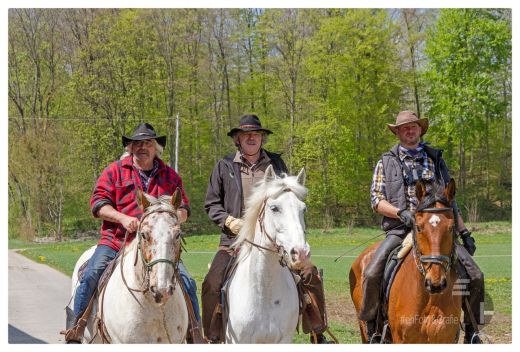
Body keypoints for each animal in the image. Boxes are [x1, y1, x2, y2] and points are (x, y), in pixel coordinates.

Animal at [352, 180, 462, 342]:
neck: (430, 299)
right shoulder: (401, 339)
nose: (435, 283)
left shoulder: (445, 339)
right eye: (419, 227)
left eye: (451, 227)